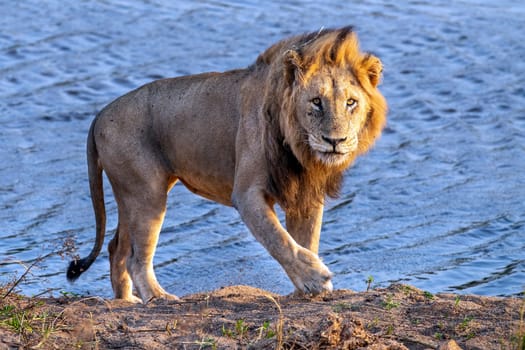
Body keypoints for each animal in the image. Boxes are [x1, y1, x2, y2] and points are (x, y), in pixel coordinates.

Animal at [66, 26, 384, 304]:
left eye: (351, 103)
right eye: (316, 102)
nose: (335, 140)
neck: (300, 149)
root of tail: (100, 114)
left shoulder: (304, 193)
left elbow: (305, 239)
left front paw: (303, 287)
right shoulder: (246, 193)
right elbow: (279, 239)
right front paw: (315, 278)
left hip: (130, 194)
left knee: (116, 247)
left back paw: (125, 301)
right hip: (147, 194)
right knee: (135, 257)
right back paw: (159, 297)